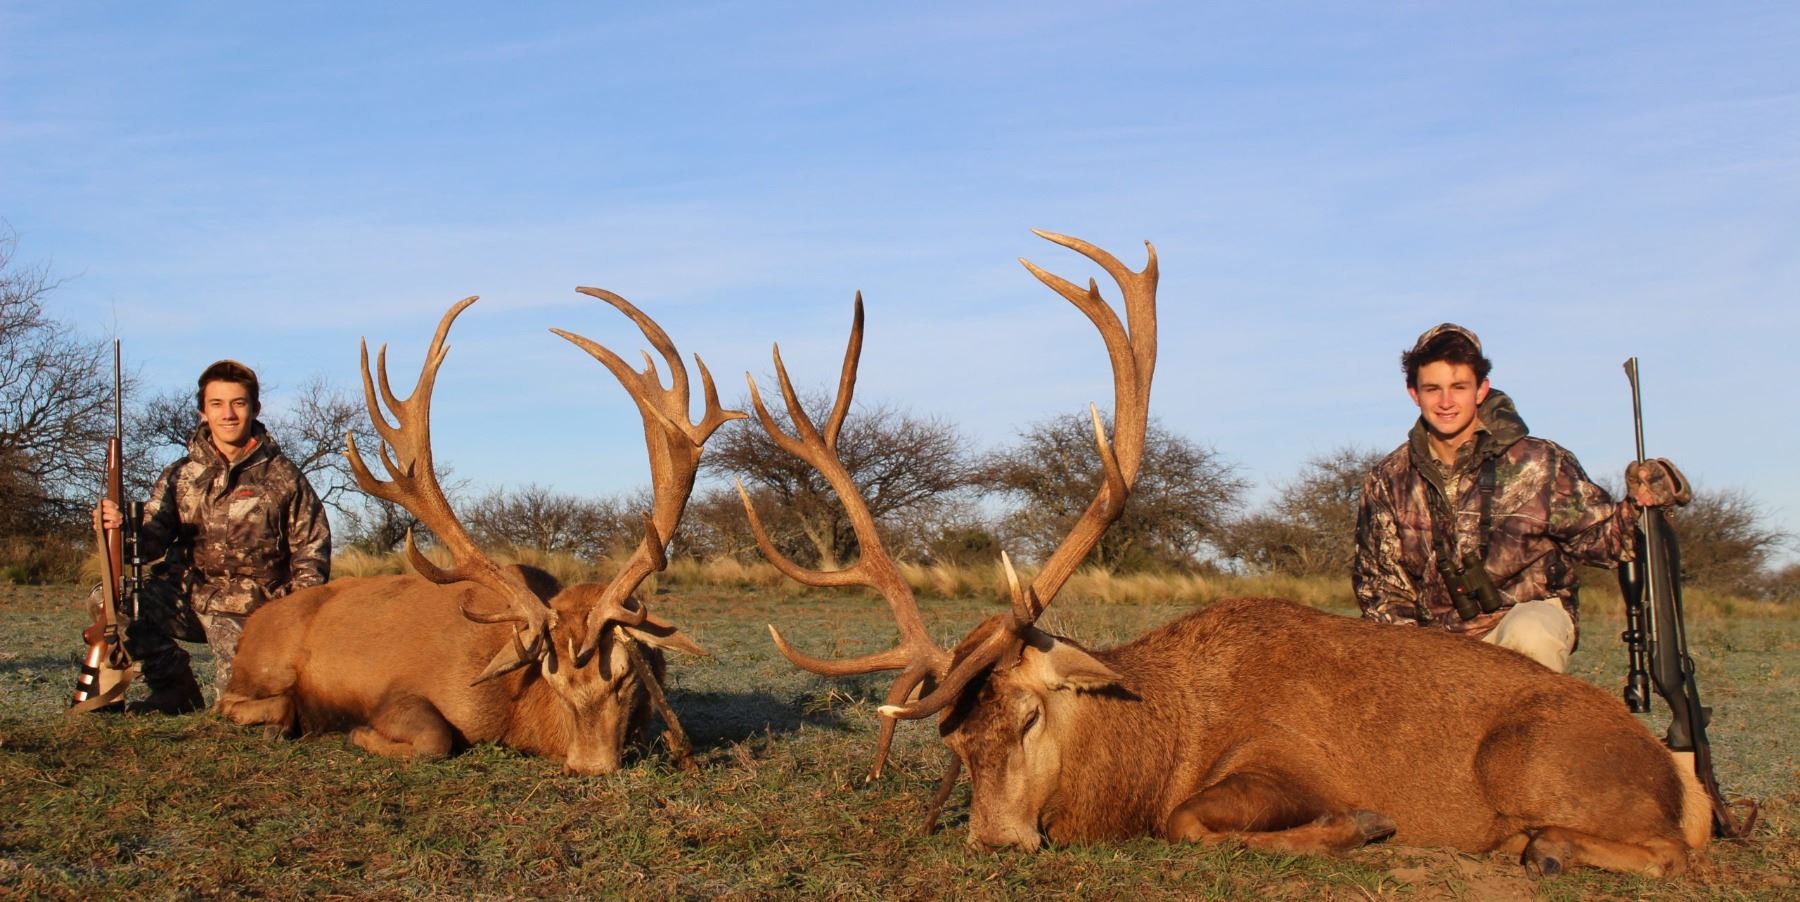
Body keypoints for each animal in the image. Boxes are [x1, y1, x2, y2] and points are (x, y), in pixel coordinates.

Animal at [218, 291, 742, 775]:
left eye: (627, 676)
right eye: (552, 676)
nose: (588, 765)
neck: (516, 712)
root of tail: (251, 626)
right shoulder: (407, 694)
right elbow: (434, 738)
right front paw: (357, 732)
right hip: (260, 667)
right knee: (238, 701)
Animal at [735, 229, 1712, 876]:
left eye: (1029, 716)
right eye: (955, 743)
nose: (996, 840)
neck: (1156, 739)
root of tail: (1684, 781)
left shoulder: (1278, 762)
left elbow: (1186, 821)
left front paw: (1364, 825)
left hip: (1527, 756)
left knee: (1668, 853)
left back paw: (1542, 844)